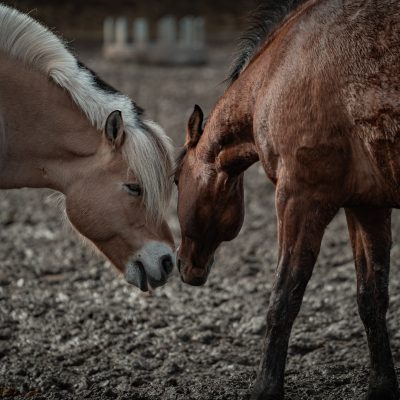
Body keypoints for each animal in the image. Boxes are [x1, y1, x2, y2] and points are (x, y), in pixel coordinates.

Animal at [177, 0, 400, 398]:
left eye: (175, 179)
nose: (183, 264)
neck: (282, 67)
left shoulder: (300, 198)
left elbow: (283, 299)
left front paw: (265, 387)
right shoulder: (367, 206)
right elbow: (372, 297)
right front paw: (381, 385)